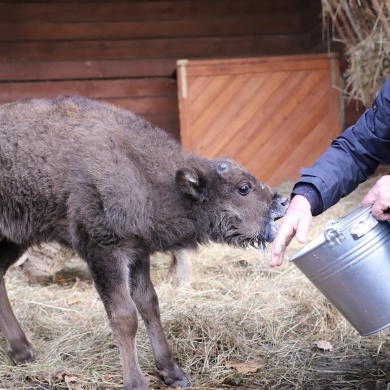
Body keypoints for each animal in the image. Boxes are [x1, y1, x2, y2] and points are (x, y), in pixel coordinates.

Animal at [0, 95, 286, 390]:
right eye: (244, 187)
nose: (282, 201)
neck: (137, 167)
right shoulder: (104, 251)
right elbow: (125, 315)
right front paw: (136, 382)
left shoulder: (137, 251)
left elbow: (149, 302)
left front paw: (173, 372)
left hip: (12, 241)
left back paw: (22, 351)